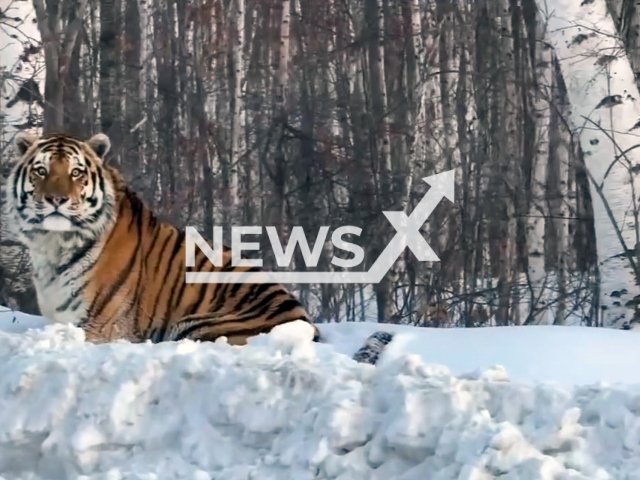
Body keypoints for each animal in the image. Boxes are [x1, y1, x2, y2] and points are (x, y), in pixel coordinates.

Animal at [3, 131, 396, 364]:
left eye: (76, 173)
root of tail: (309, 327)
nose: (56, 199)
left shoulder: (102, 328)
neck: (52, 246)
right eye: (41, 171)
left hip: (200, 325)